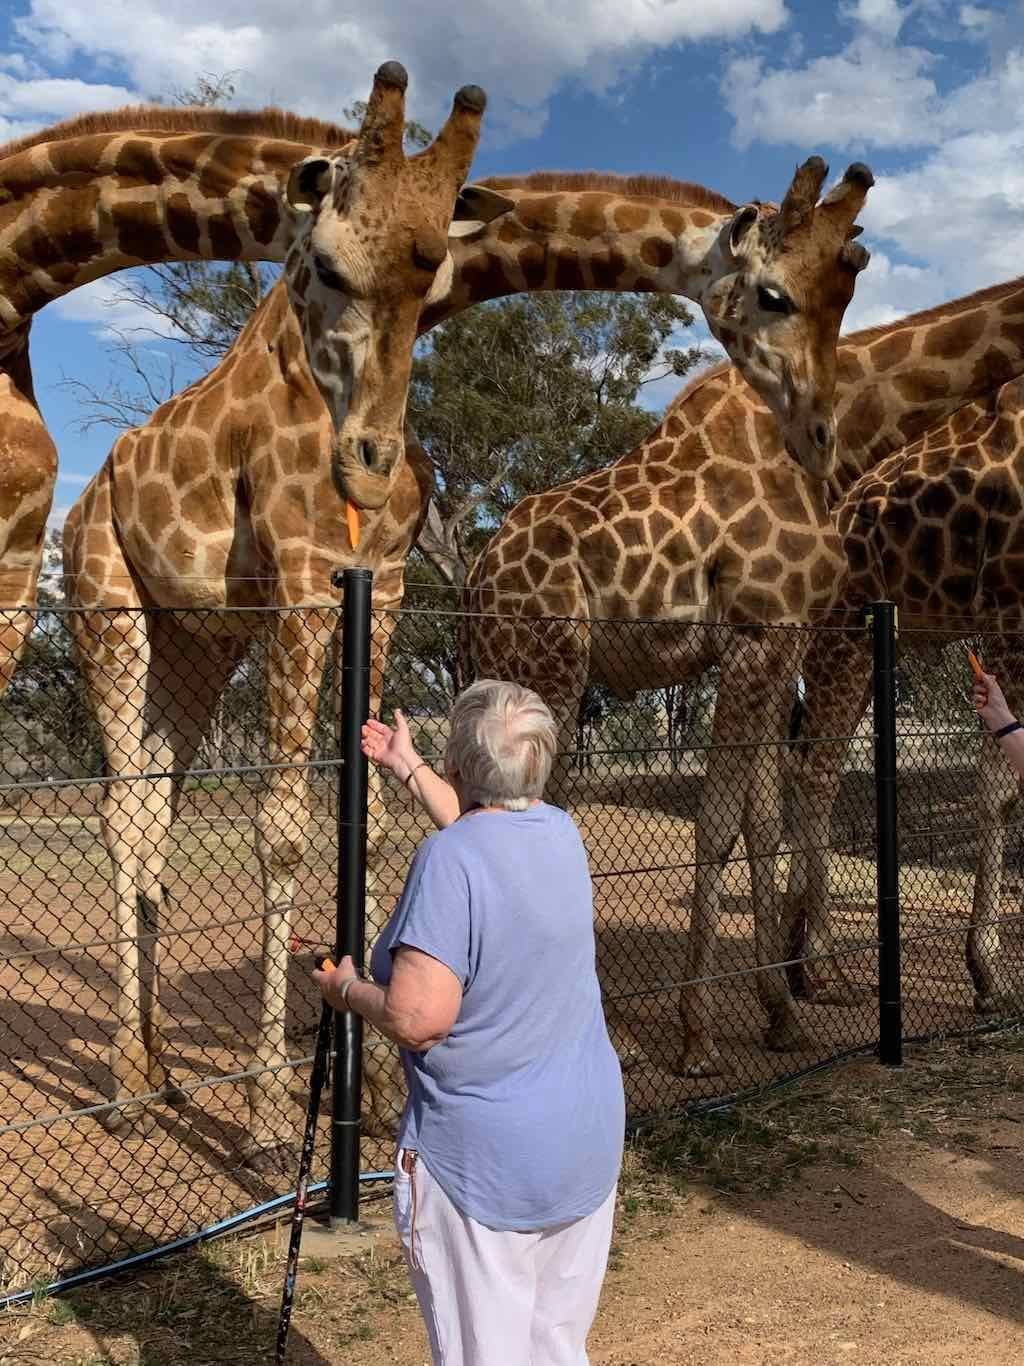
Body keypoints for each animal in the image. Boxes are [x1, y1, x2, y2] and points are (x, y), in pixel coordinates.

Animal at [55, 155, 879, 1163]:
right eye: (773, 293)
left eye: (848, 287)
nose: (817, 431)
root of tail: (86, 502)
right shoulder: (302, 572)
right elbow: (284, 831)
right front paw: (267, 1120)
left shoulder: (382, 584)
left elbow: (369, 820)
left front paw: (370, 1085)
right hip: (110, 604)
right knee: (120, 811)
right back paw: (128, 1087)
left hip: (199, 639)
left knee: (151, 811)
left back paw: (155, 1071)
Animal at [464, 266, 1024, 1076]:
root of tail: (477, 575)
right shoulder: (765, 633)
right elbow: (722, 824)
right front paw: (698, 1038)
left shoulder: (776, 639)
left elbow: (757, 821)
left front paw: (780, 1014)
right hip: (550, 666)